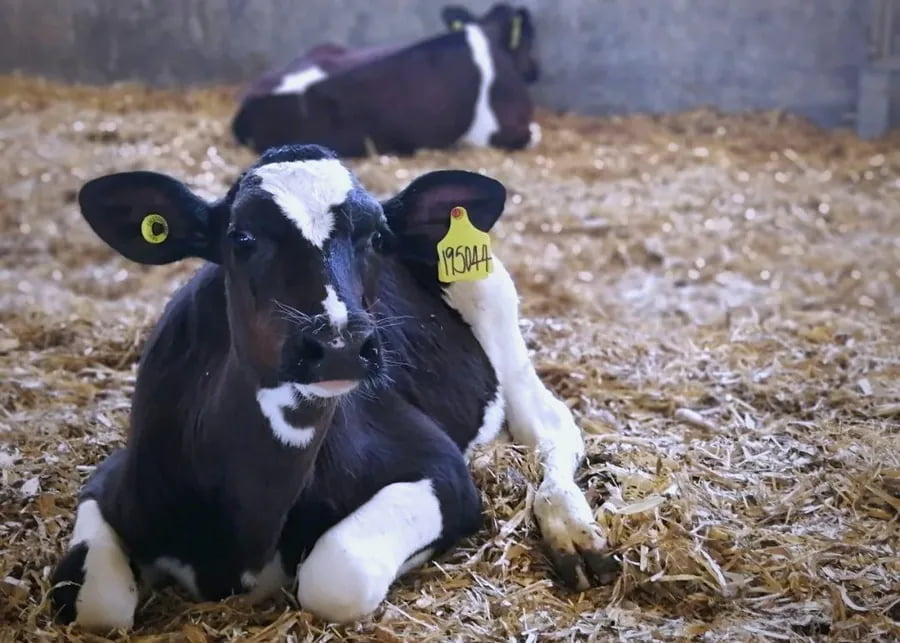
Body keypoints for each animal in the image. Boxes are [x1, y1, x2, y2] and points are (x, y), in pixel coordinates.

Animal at [49, 144, 614, 632]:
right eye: (241, 237)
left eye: (378, 238)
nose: (339, 343)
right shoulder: (112, 481)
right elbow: (93, 603)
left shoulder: (442, 470)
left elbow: (335, 574)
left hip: (494, 305)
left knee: (550, 427)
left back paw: (570, 528)